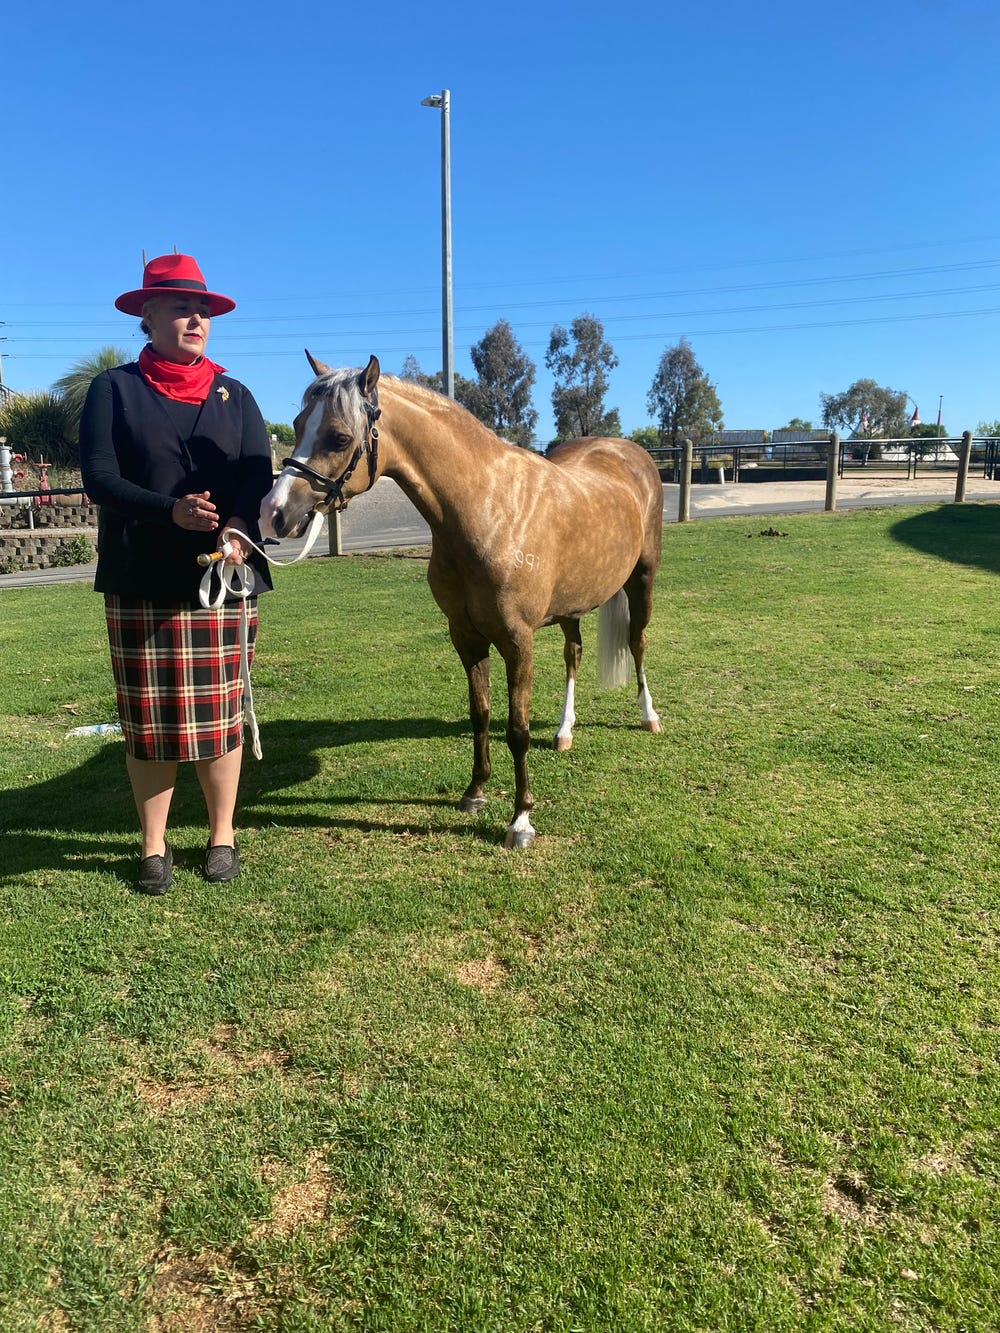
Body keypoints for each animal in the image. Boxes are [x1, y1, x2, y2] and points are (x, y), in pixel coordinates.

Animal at [260, 353, 663, 849]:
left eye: (338, 436)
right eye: (298, 424)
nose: (273, 512)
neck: (488, 510)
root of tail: (629, 453)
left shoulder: (518, 642)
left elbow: (517, 729)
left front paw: (521, 820)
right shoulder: (467, 637)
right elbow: (480, 714)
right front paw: (475, 792)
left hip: (642, 581)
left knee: (638, 643)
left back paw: (649, 717)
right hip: (572, 605)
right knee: (574, 654)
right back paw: (564, 731)